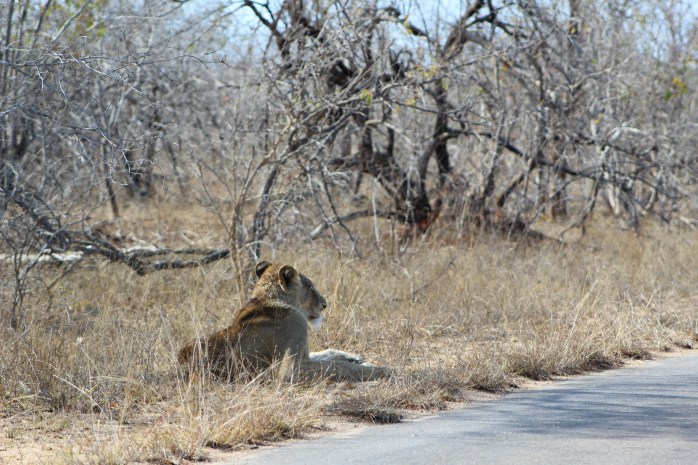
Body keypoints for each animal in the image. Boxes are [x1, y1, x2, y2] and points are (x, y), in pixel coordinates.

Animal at [178, 261, 387, 382]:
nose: (325, 304)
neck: (267, 299)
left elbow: (326, 354)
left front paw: (357, 358)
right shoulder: (290, 368)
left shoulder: (304, 353)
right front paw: (380, 370)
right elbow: (335, 366)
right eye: (311, 286)